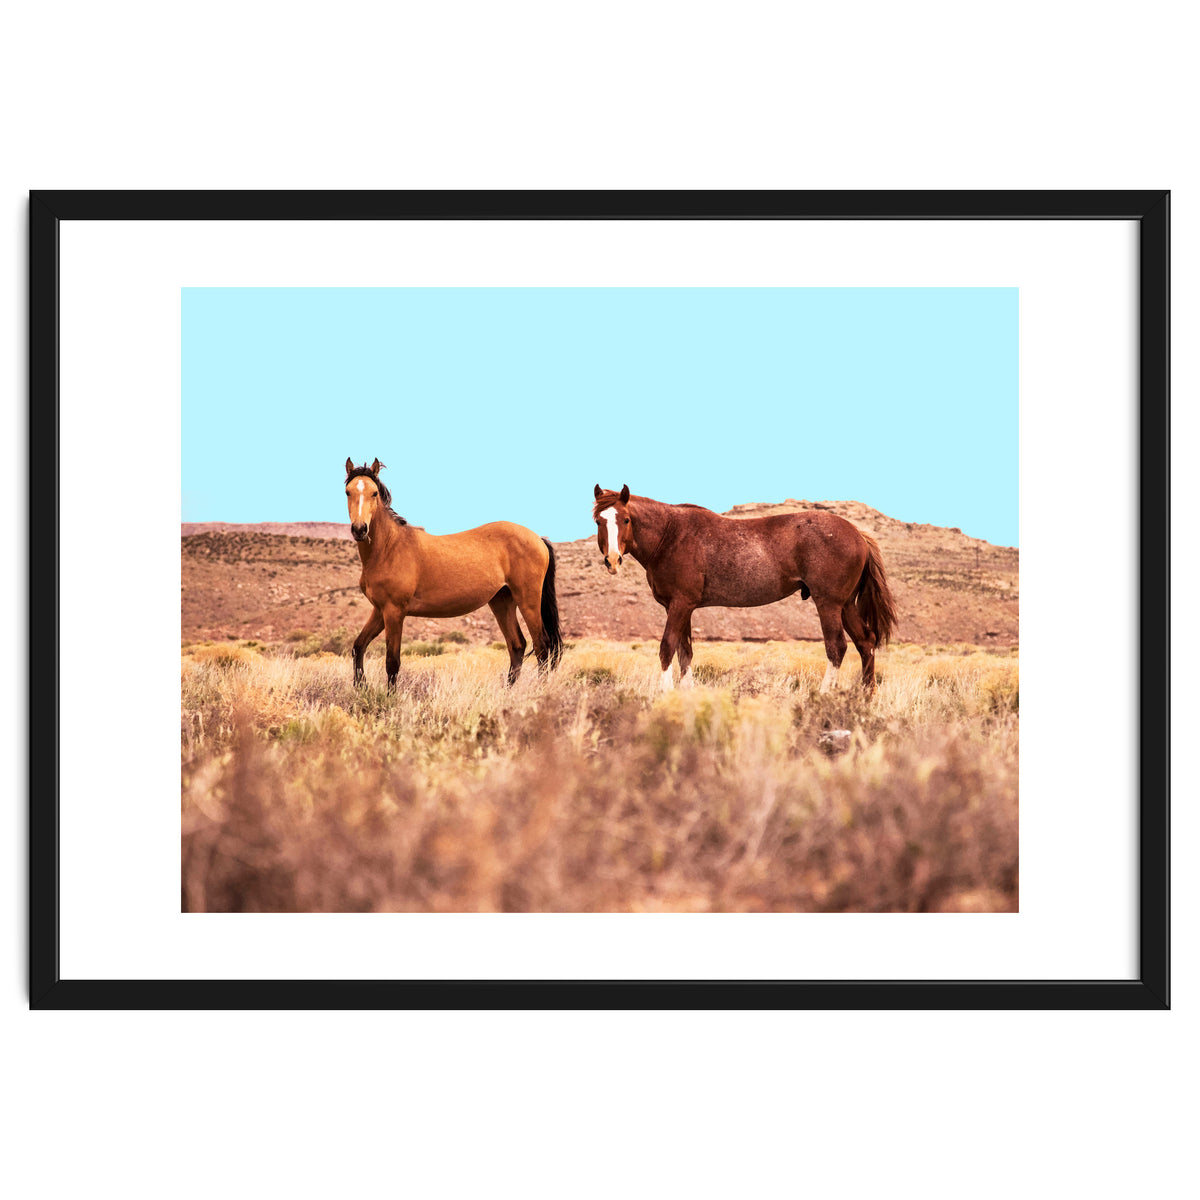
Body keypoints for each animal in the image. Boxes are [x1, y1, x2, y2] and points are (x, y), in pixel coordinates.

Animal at [344, 458, 563, 688]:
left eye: (374, 493)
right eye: (348, 492)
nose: (360, 529)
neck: (389, 548)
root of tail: (538, 538)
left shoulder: (394, 611)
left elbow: (392, 662)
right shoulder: (380, 610)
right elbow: (358, 646)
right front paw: (361, 686)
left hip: (528, 601)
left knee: (542, 647)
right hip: (502, 601)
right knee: (517, 645)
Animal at [592, 484, 897, 694]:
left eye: (626, 520)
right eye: (598, 521)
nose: (612, 560)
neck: (670, 535)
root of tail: (858, 534)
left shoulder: (680, 605)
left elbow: (667, 647)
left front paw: (665, 693)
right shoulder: (682, 608)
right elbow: (685, 652)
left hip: (829, 604)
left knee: (837, 647)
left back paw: (824, 695)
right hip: (845, 605)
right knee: (866, 643)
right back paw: (865, 697)